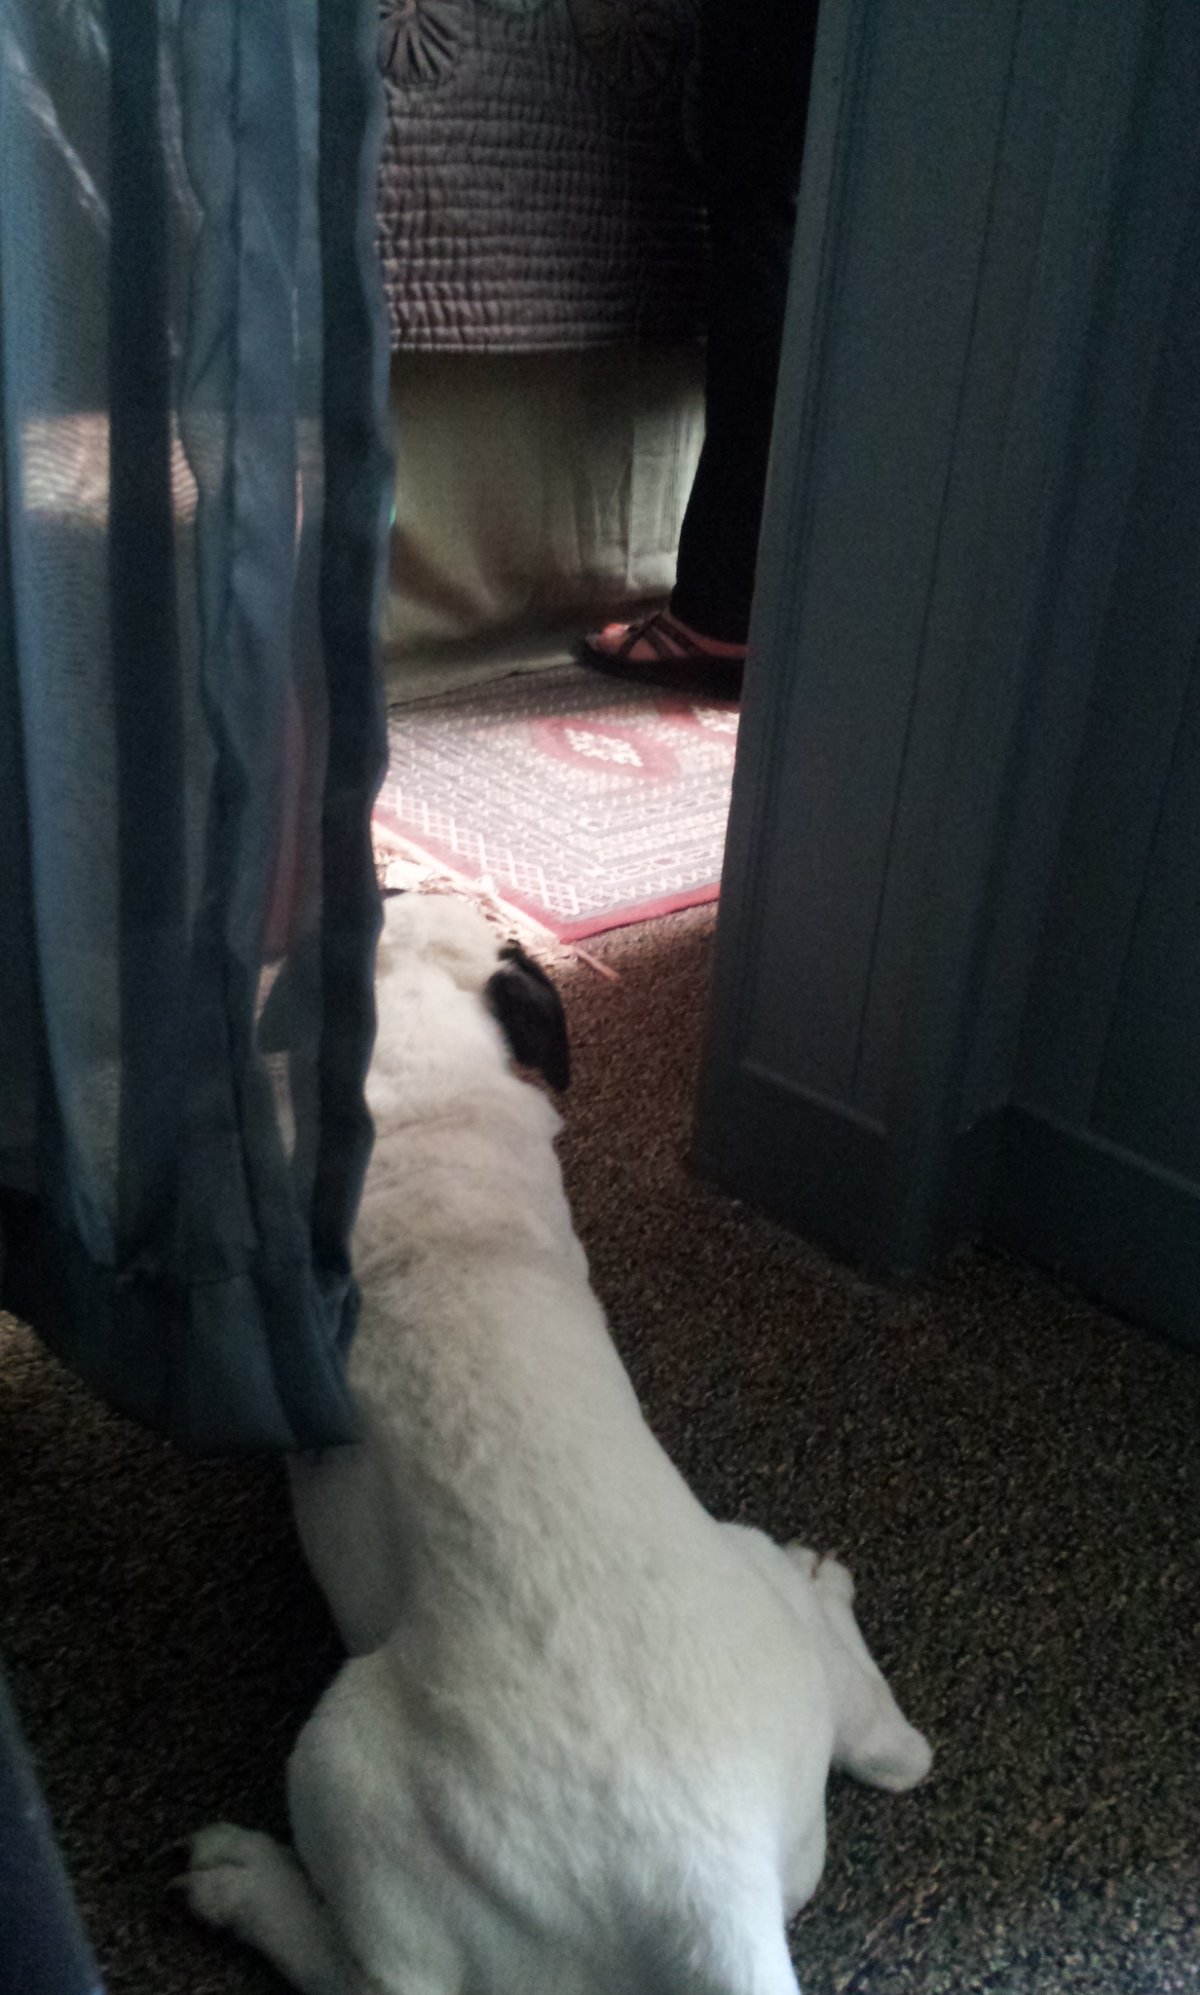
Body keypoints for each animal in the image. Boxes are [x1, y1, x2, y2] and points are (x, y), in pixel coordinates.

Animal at [181, 893, 931, 1995]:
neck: (422, 1084)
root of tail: (713, 1894)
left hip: (345, 1764)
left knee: (366, 1972)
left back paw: (244, 1881)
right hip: (754, 1592)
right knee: (885, 1744)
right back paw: (832, 1602)